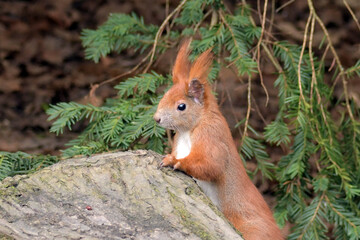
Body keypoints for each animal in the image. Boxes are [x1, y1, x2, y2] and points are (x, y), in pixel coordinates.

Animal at [153, 41, 282, 240]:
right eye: (164, 95)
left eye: (181, 106)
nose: (156, 119)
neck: (188, 130)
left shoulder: (211, 136)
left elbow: (212, 164)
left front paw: (173, 161)